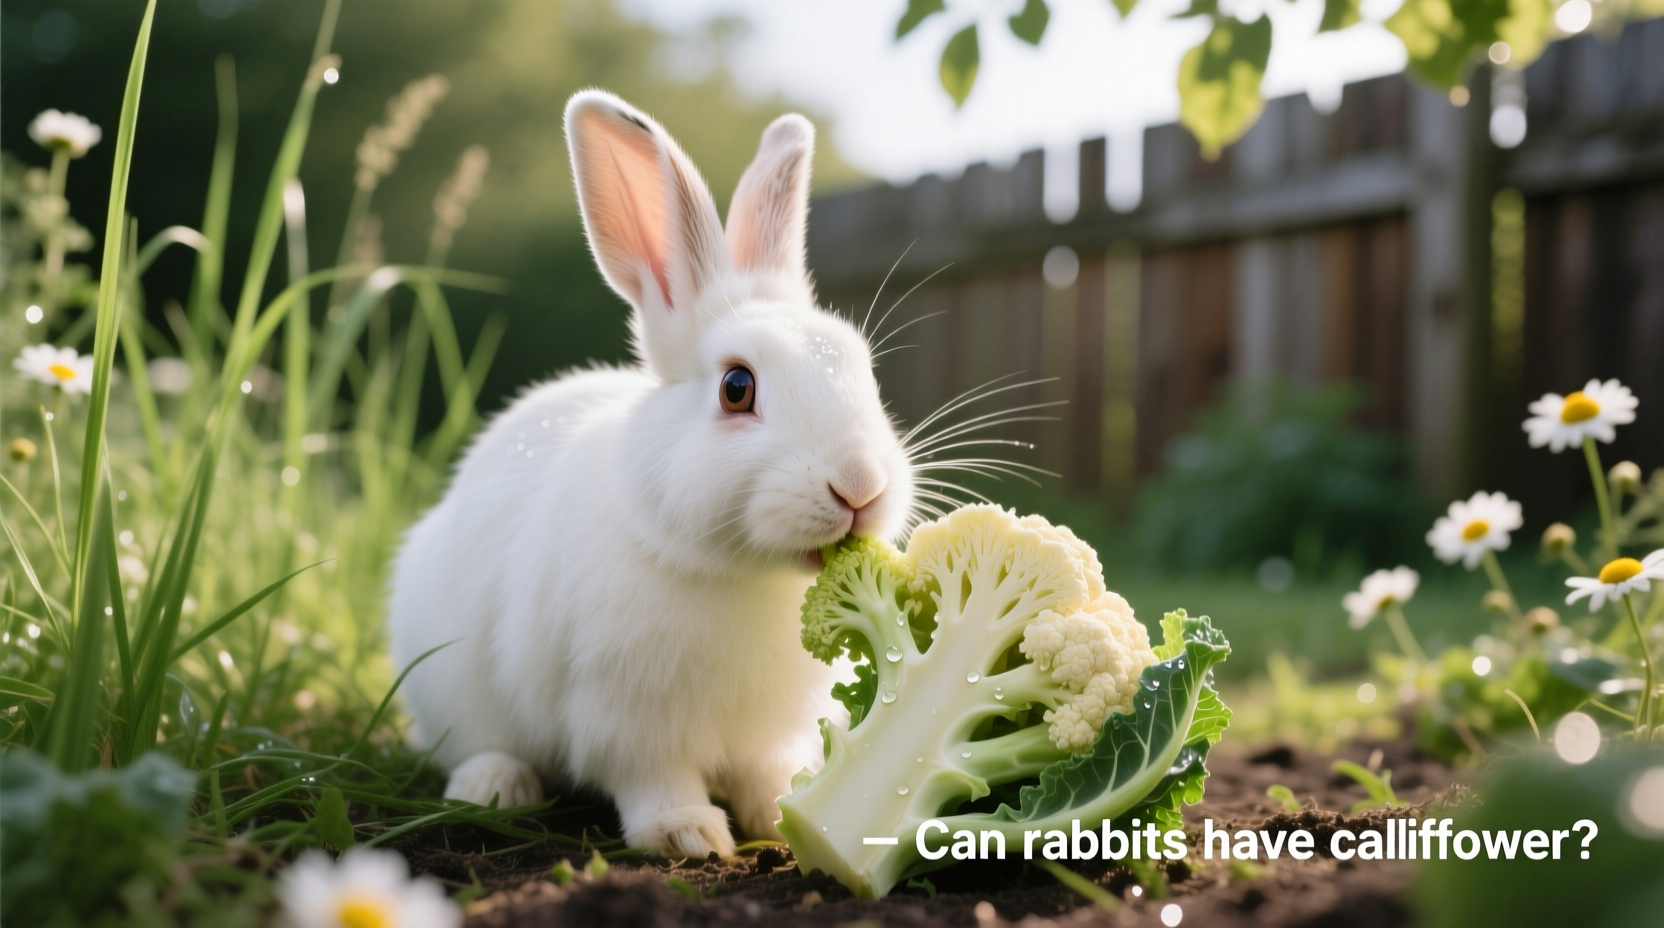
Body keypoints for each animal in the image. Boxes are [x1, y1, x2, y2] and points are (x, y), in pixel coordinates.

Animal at [387, 90, 915, 858]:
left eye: (864, 371)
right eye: (736, 387)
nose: (860, 487)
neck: (741, 576)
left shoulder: (768, 733)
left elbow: (767, 772)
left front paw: (782, 815)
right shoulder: (624, 719)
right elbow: (652, 779)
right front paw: (687, 835)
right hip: (450, 681)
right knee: (475, 743)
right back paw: (496, 787)